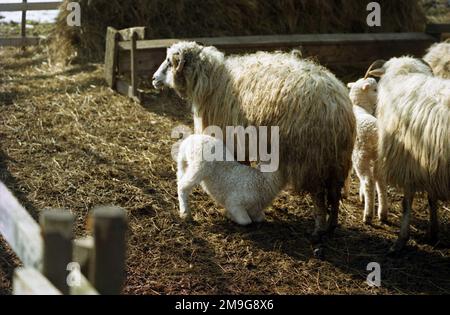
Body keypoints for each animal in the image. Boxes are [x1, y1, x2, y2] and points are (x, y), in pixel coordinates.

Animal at [153, 41, 356, 247]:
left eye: (169, 62)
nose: (154, 79)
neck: (213, 81)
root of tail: (337, 105)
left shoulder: (233, 138)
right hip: (335, 160)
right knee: (335, 194)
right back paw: (332, 226)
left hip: (312, 157)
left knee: (319, 196)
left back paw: (318, 230)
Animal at [346, 77, 388, 223]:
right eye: (375, 89)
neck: (360, 106)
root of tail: (375, 133)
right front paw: (361, 195)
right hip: (378, 158)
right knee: (380, 181)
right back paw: (382, 213)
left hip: (360, 156)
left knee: (368, 182)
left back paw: (368, 215)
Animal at [368, 57, 450, 254]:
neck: (404, 76)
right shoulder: (430, 165)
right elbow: (432, 199)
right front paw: (433, 233)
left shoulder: (407, 164)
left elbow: (406, 204)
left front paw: (400, 241)